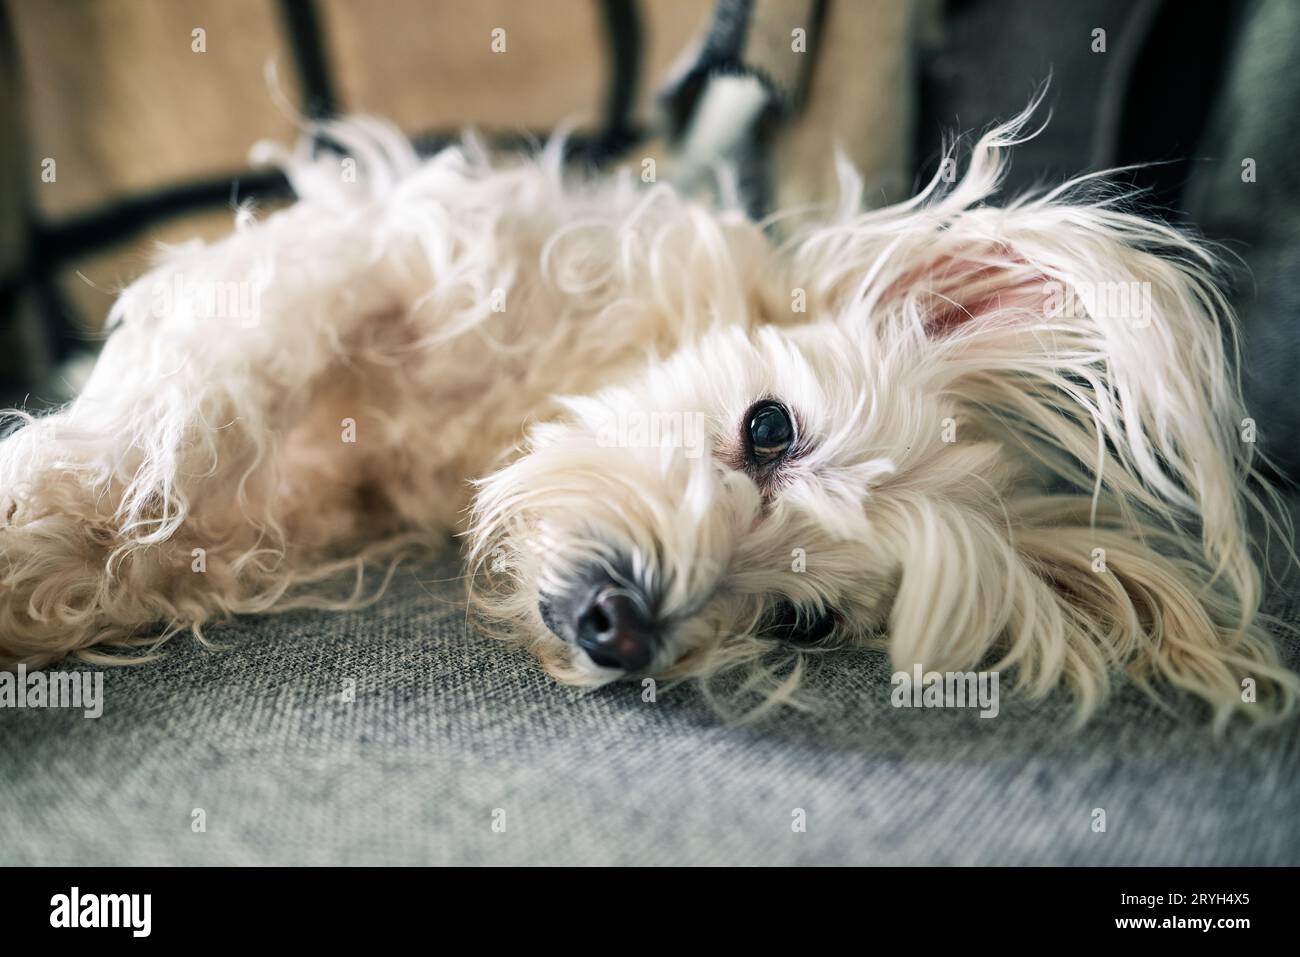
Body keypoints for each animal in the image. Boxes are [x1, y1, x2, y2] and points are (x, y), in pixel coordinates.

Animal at [2, 111, 1300, 722]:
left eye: (801, 623)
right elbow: (193, 414)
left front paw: (60, 582)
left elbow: (186, 534)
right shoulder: (369, 250)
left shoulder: (313, 497)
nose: (623, 628)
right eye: (769, 428)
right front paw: (47, 513)